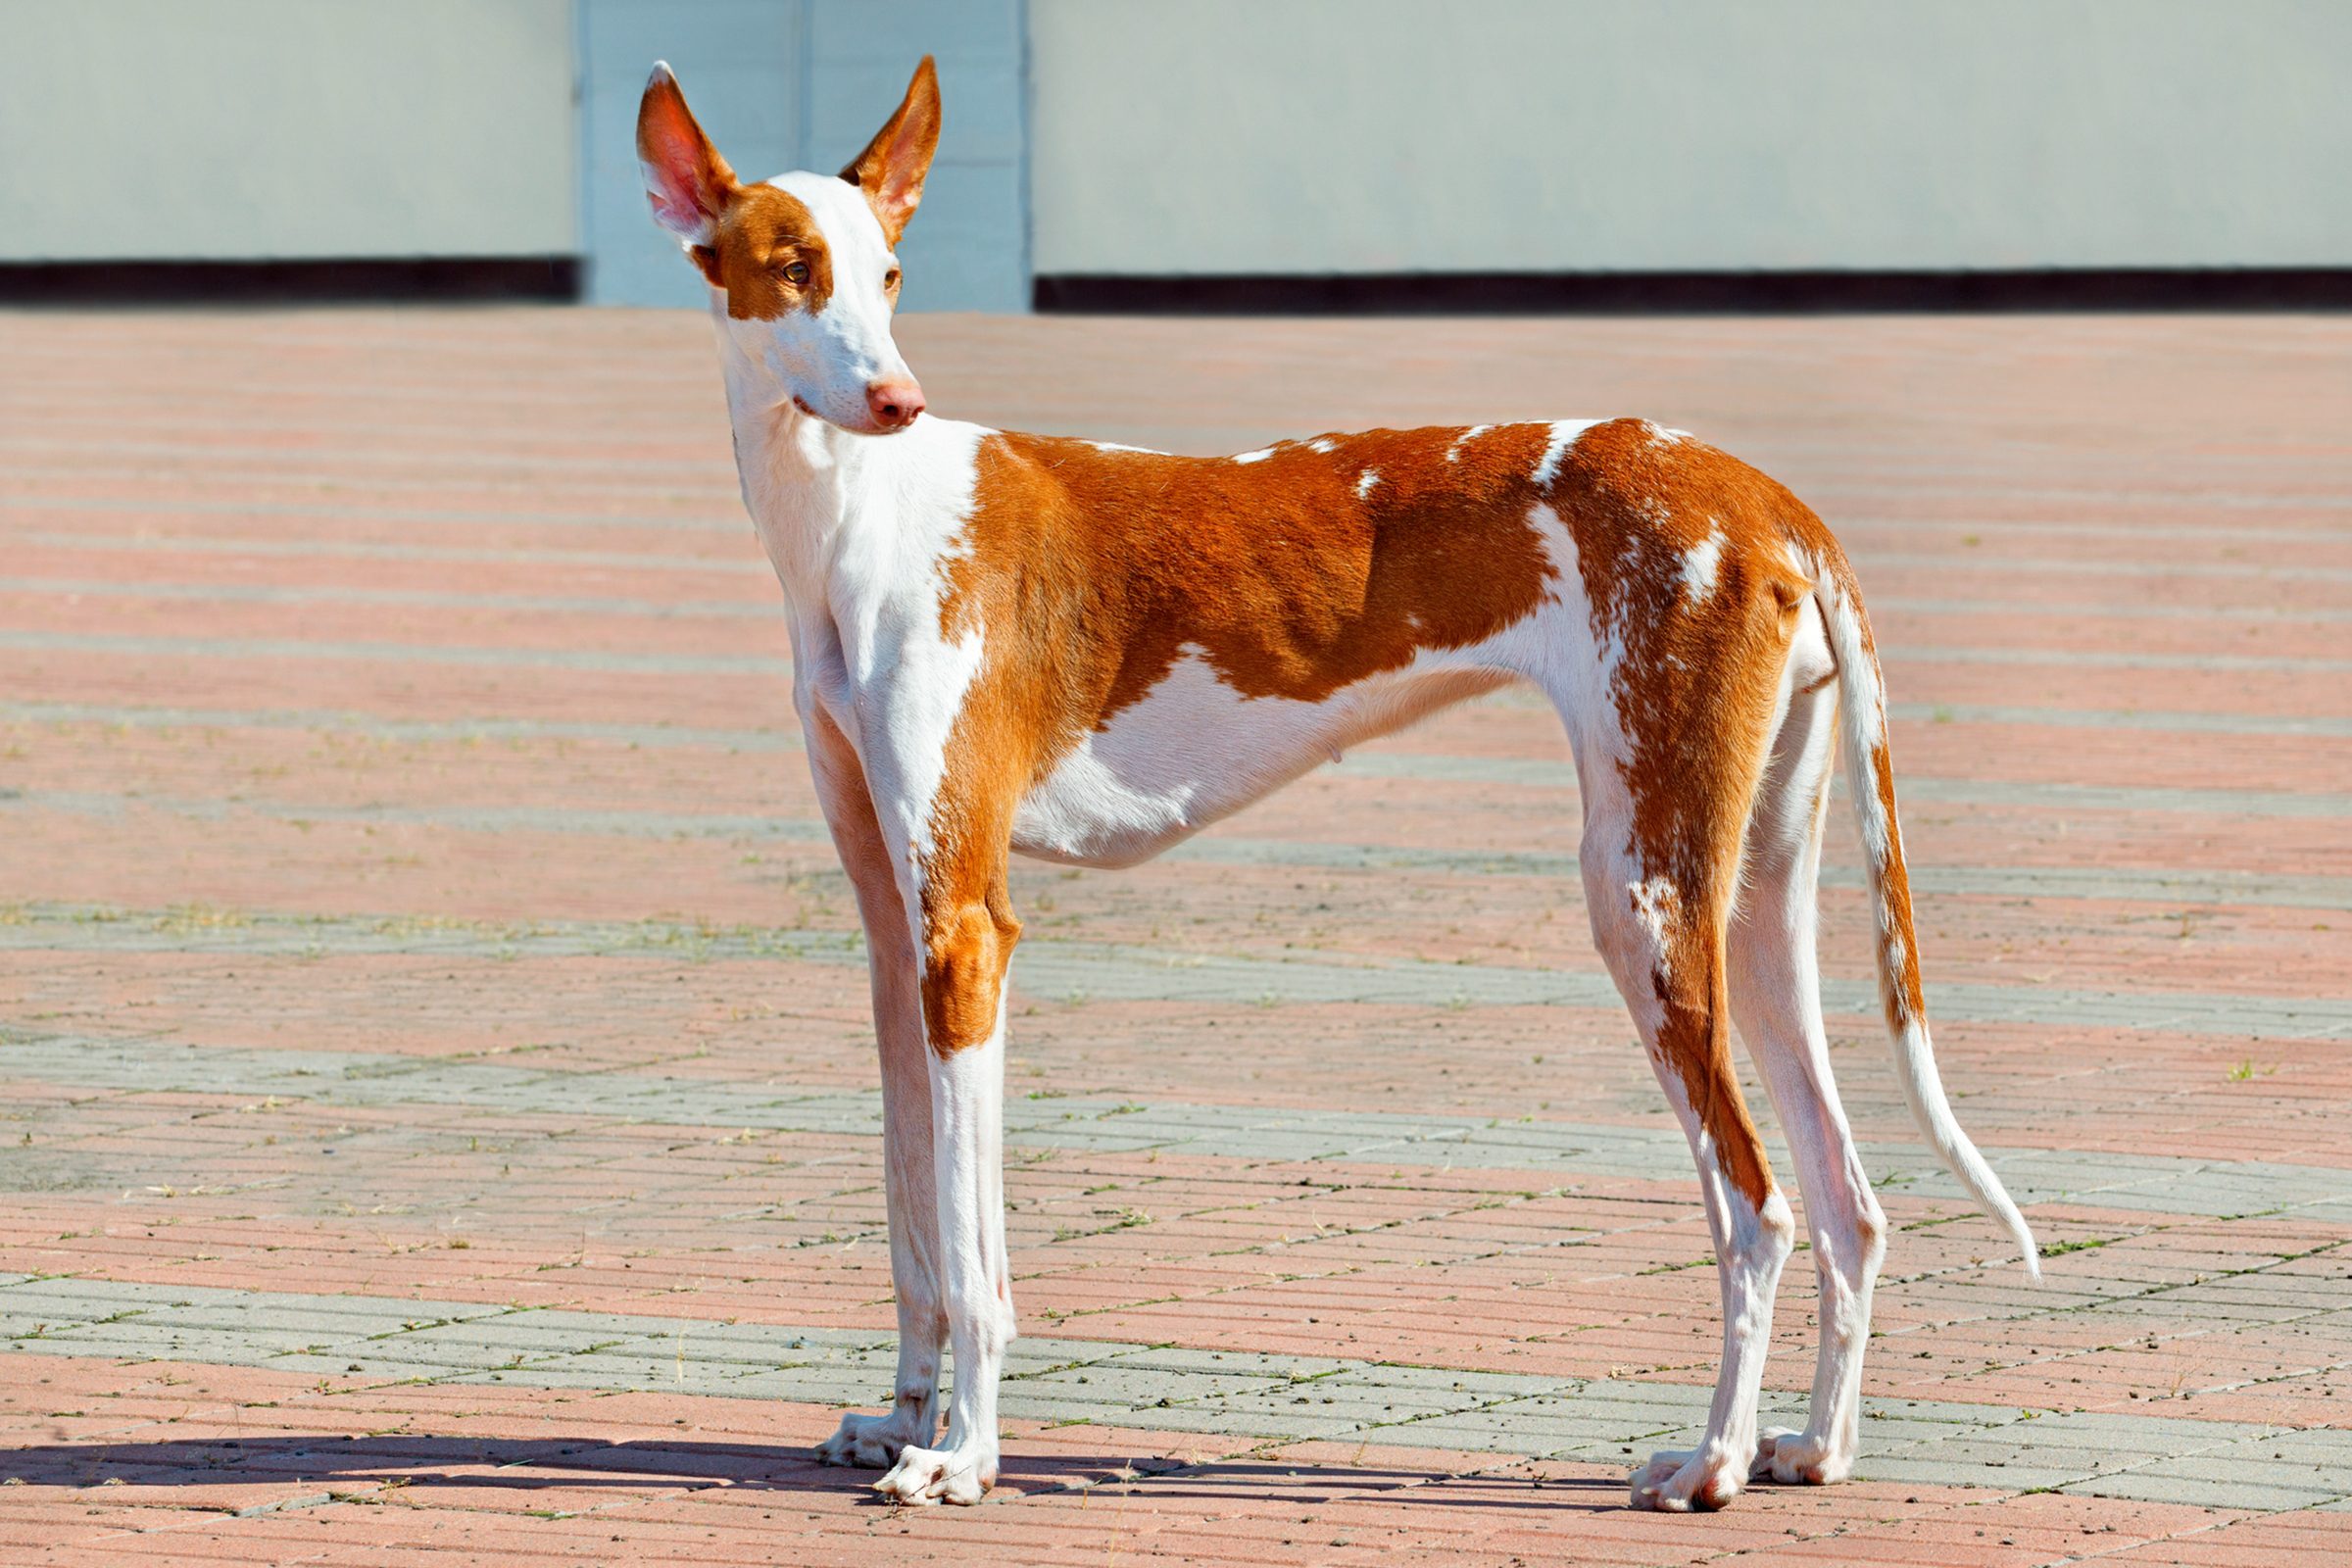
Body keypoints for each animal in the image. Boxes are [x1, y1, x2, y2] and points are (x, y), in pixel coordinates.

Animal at [639, 58, 2041, 1504]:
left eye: (892, 273)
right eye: (796, 271)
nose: (896, 400)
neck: (865, 517)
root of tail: (1766, 498)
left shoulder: (967, 935)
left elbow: (975, 1261)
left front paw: (963, 1453)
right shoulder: (893, 932)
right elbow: (915, 1221)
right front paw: (903, 1416)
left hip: (1642, 901)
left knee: (1758, 1207)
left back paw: (1708, 1462)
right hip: (1750, 898)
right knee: (1846, 1198)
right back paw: (1812, 1447)